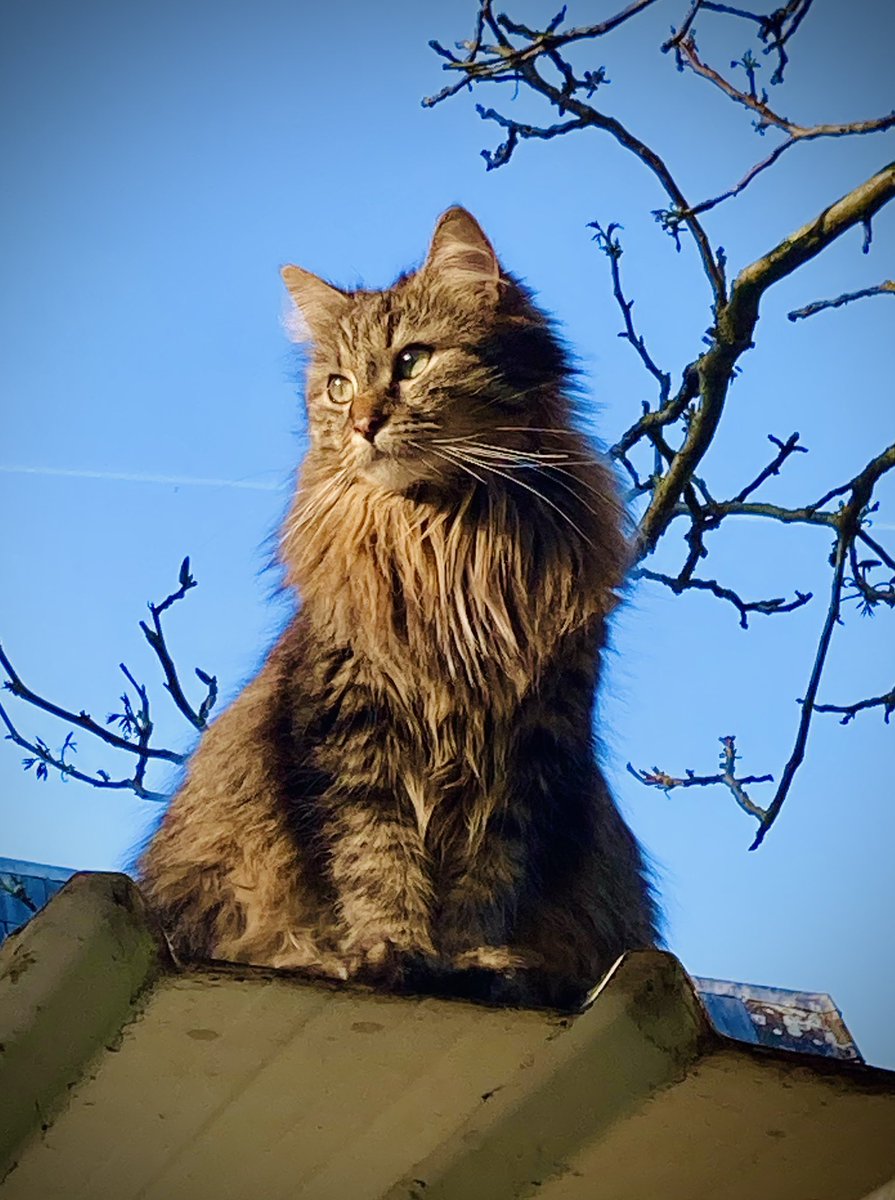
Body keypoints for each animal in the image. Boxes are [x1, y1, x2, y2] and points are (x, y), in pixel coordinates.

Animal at [139, 208, 657, 1012]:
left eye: (412, 361)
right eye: (337, 386)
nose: (361, 422)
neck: (445, 543)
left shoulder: (531, 747)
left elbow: (488, 877)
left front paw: (477, 961)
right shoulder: (352, 735)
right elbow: (376, 864)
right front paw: (393, 950)